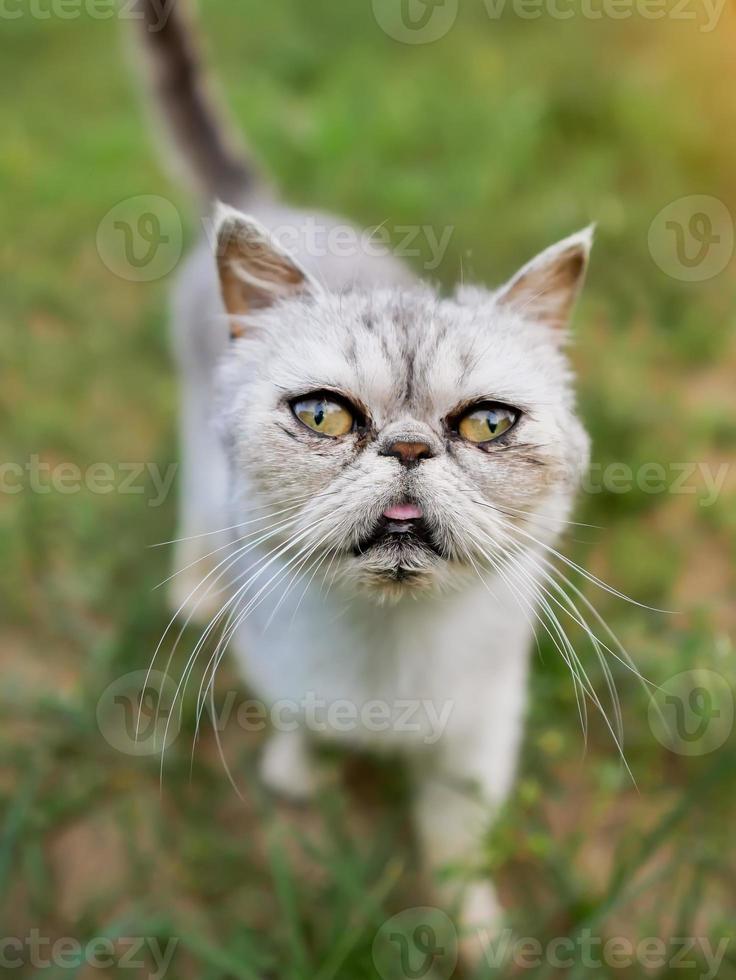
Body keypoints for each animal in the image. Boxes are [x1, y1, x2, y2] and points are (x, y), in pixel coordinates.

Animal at [132, 0, 592, 956]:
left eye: (487, 423)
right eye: (324, 417)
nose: (410, 450)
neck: (388, 648)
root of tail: (273, 203)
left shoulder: (478, 742)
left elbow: (457, 852)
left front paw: (481, 941)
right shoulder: (284, 673)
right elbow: (301, 724)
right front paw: (296, 777)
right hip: (195, 442)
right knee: (195, 510)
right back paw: (196, 588)